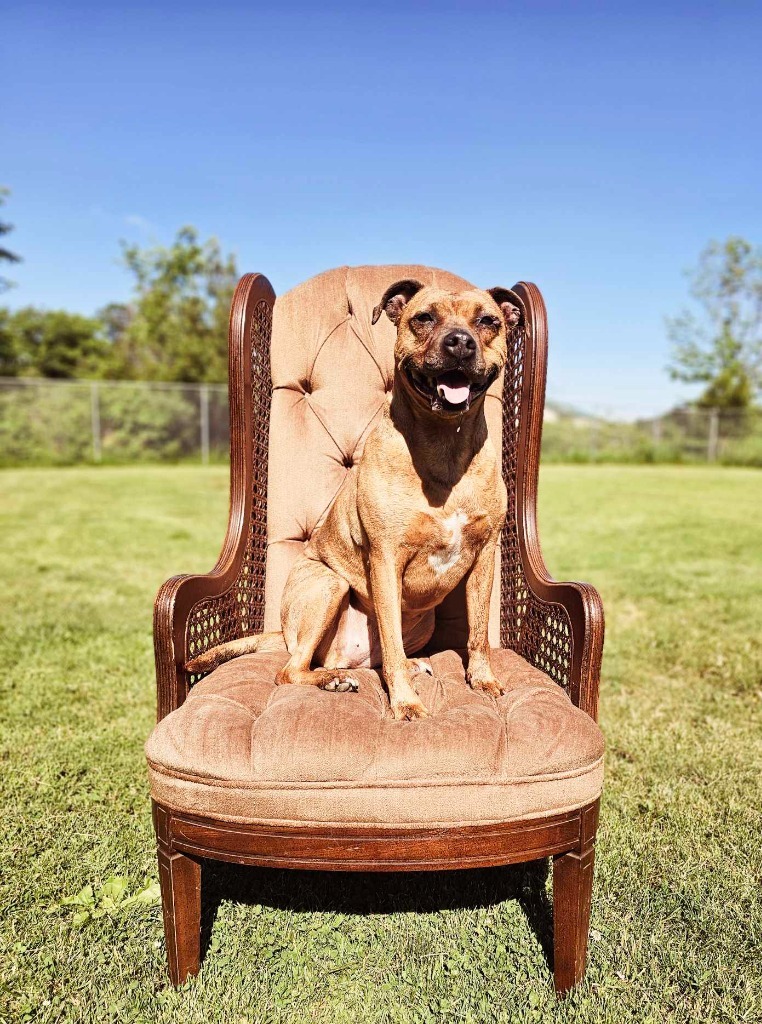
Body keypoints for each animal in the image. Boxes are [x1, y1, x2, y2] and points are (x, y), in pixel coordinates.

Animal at [188, 276, 528, 716]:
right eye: (424, 318)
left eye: (488, 321)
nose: (459, 342)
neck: (443, 443)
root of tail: (284, 634)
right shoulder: (385, 558)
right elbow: (393, 637)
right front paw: (405, 704)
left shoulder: (484, 555)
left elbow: (478, 633)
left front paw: (482, 679)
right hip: (328, 585)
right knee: (292, 669)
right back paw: (333, 680)